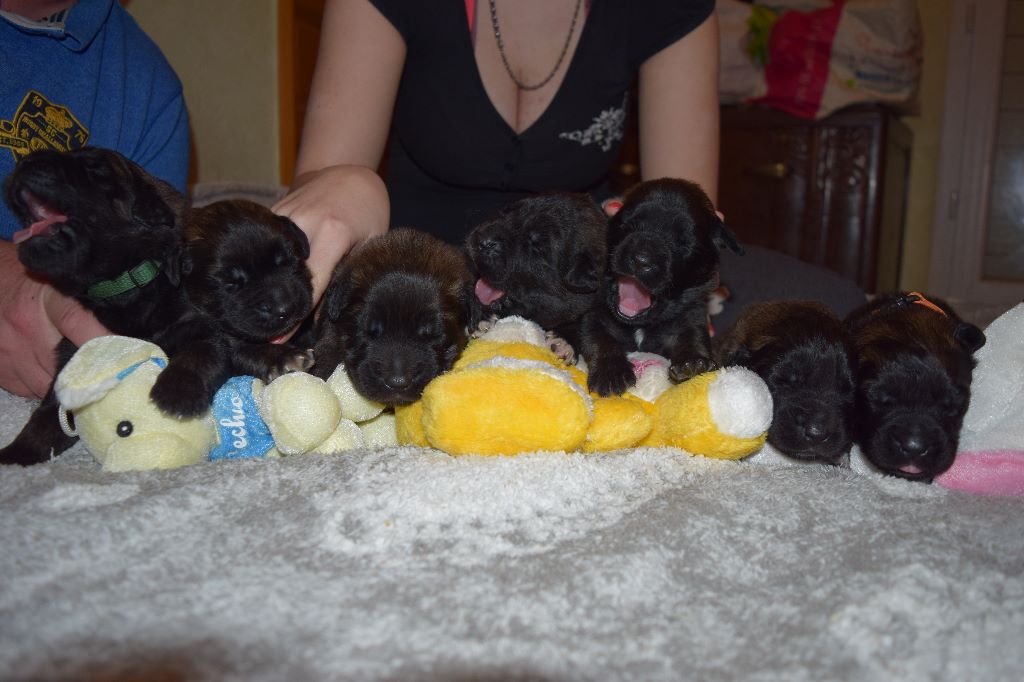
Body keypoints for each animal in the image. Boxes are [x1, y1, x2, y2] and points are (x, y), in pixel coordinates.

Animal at [581, 178, 741, 395]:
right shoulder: (593, 313)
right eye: (628, 225)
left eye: (684, 244)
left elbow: (693, 337)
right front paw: (611, 371)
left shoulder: (691, 314)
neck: (640, 325)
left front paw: (693, 364)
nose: (641, 260)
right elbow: (598, 337)